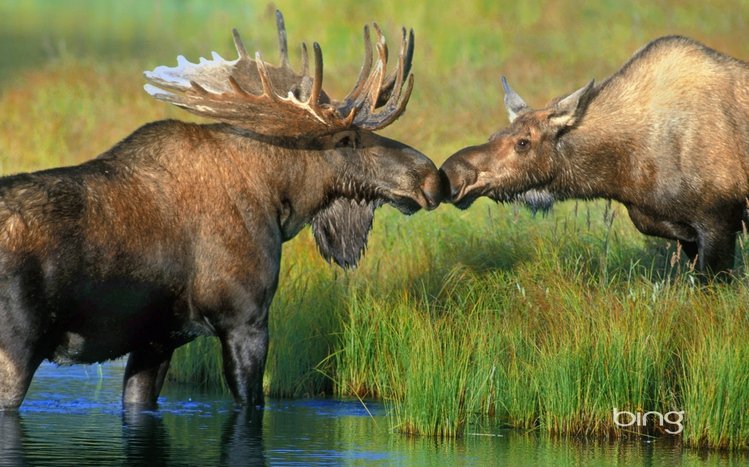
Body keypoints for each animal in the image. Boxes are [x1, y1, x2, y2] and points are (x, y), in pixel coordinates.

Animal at [0, 11, 442, 411]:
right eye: (349, 140)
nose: (431, 177)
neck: (278, 201)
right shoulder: (245, 318)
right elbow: (251, 403)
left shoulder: (158, 339)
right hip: (18, 345)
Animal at [440, 35, 749, 276]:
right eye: (493, 135)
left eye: (523, 142)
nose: (453, 173)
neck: (622, 174)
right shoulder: (683, 231)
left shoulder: (718, 221)